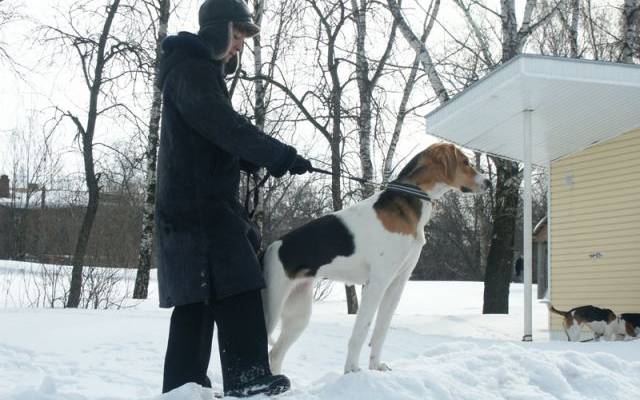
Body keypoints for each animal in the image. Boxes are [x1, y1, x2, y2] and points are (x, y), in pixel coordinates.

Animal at [260, 144, 490, 376]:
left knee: (275, 355)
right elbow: (361, 331)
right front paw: (352, 370)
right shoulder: (376, 283)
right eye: (465, 162)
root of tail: (267, 250)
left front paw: (376, 367)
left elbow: (381, 331)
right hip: (271, 308)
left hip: (298, 316)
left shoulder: (397, 284)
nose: (489, 183)